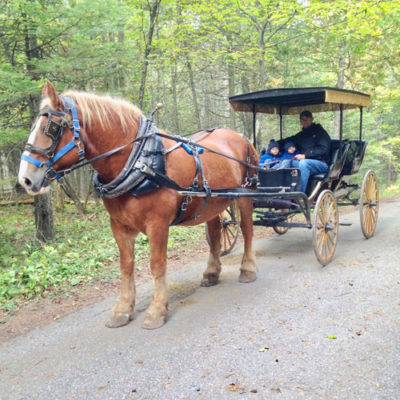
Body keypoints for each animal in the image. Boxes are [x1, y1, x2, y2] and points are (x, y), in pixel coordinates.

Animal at [17, 80, 258, 328]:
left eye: (52, 128)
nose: (25, 179)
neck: (139, 160)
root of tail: (240, 136)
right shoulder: (119, 226)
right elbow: (126, 266)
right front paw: (123, 309)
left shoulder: (158, 224)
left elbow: (157, 264)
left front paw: (157, 310)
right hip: (211, 204)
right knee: (216, 235)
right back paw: (211, 273)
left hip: (247, 193)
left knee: (247, 229)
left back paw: (247, 269)